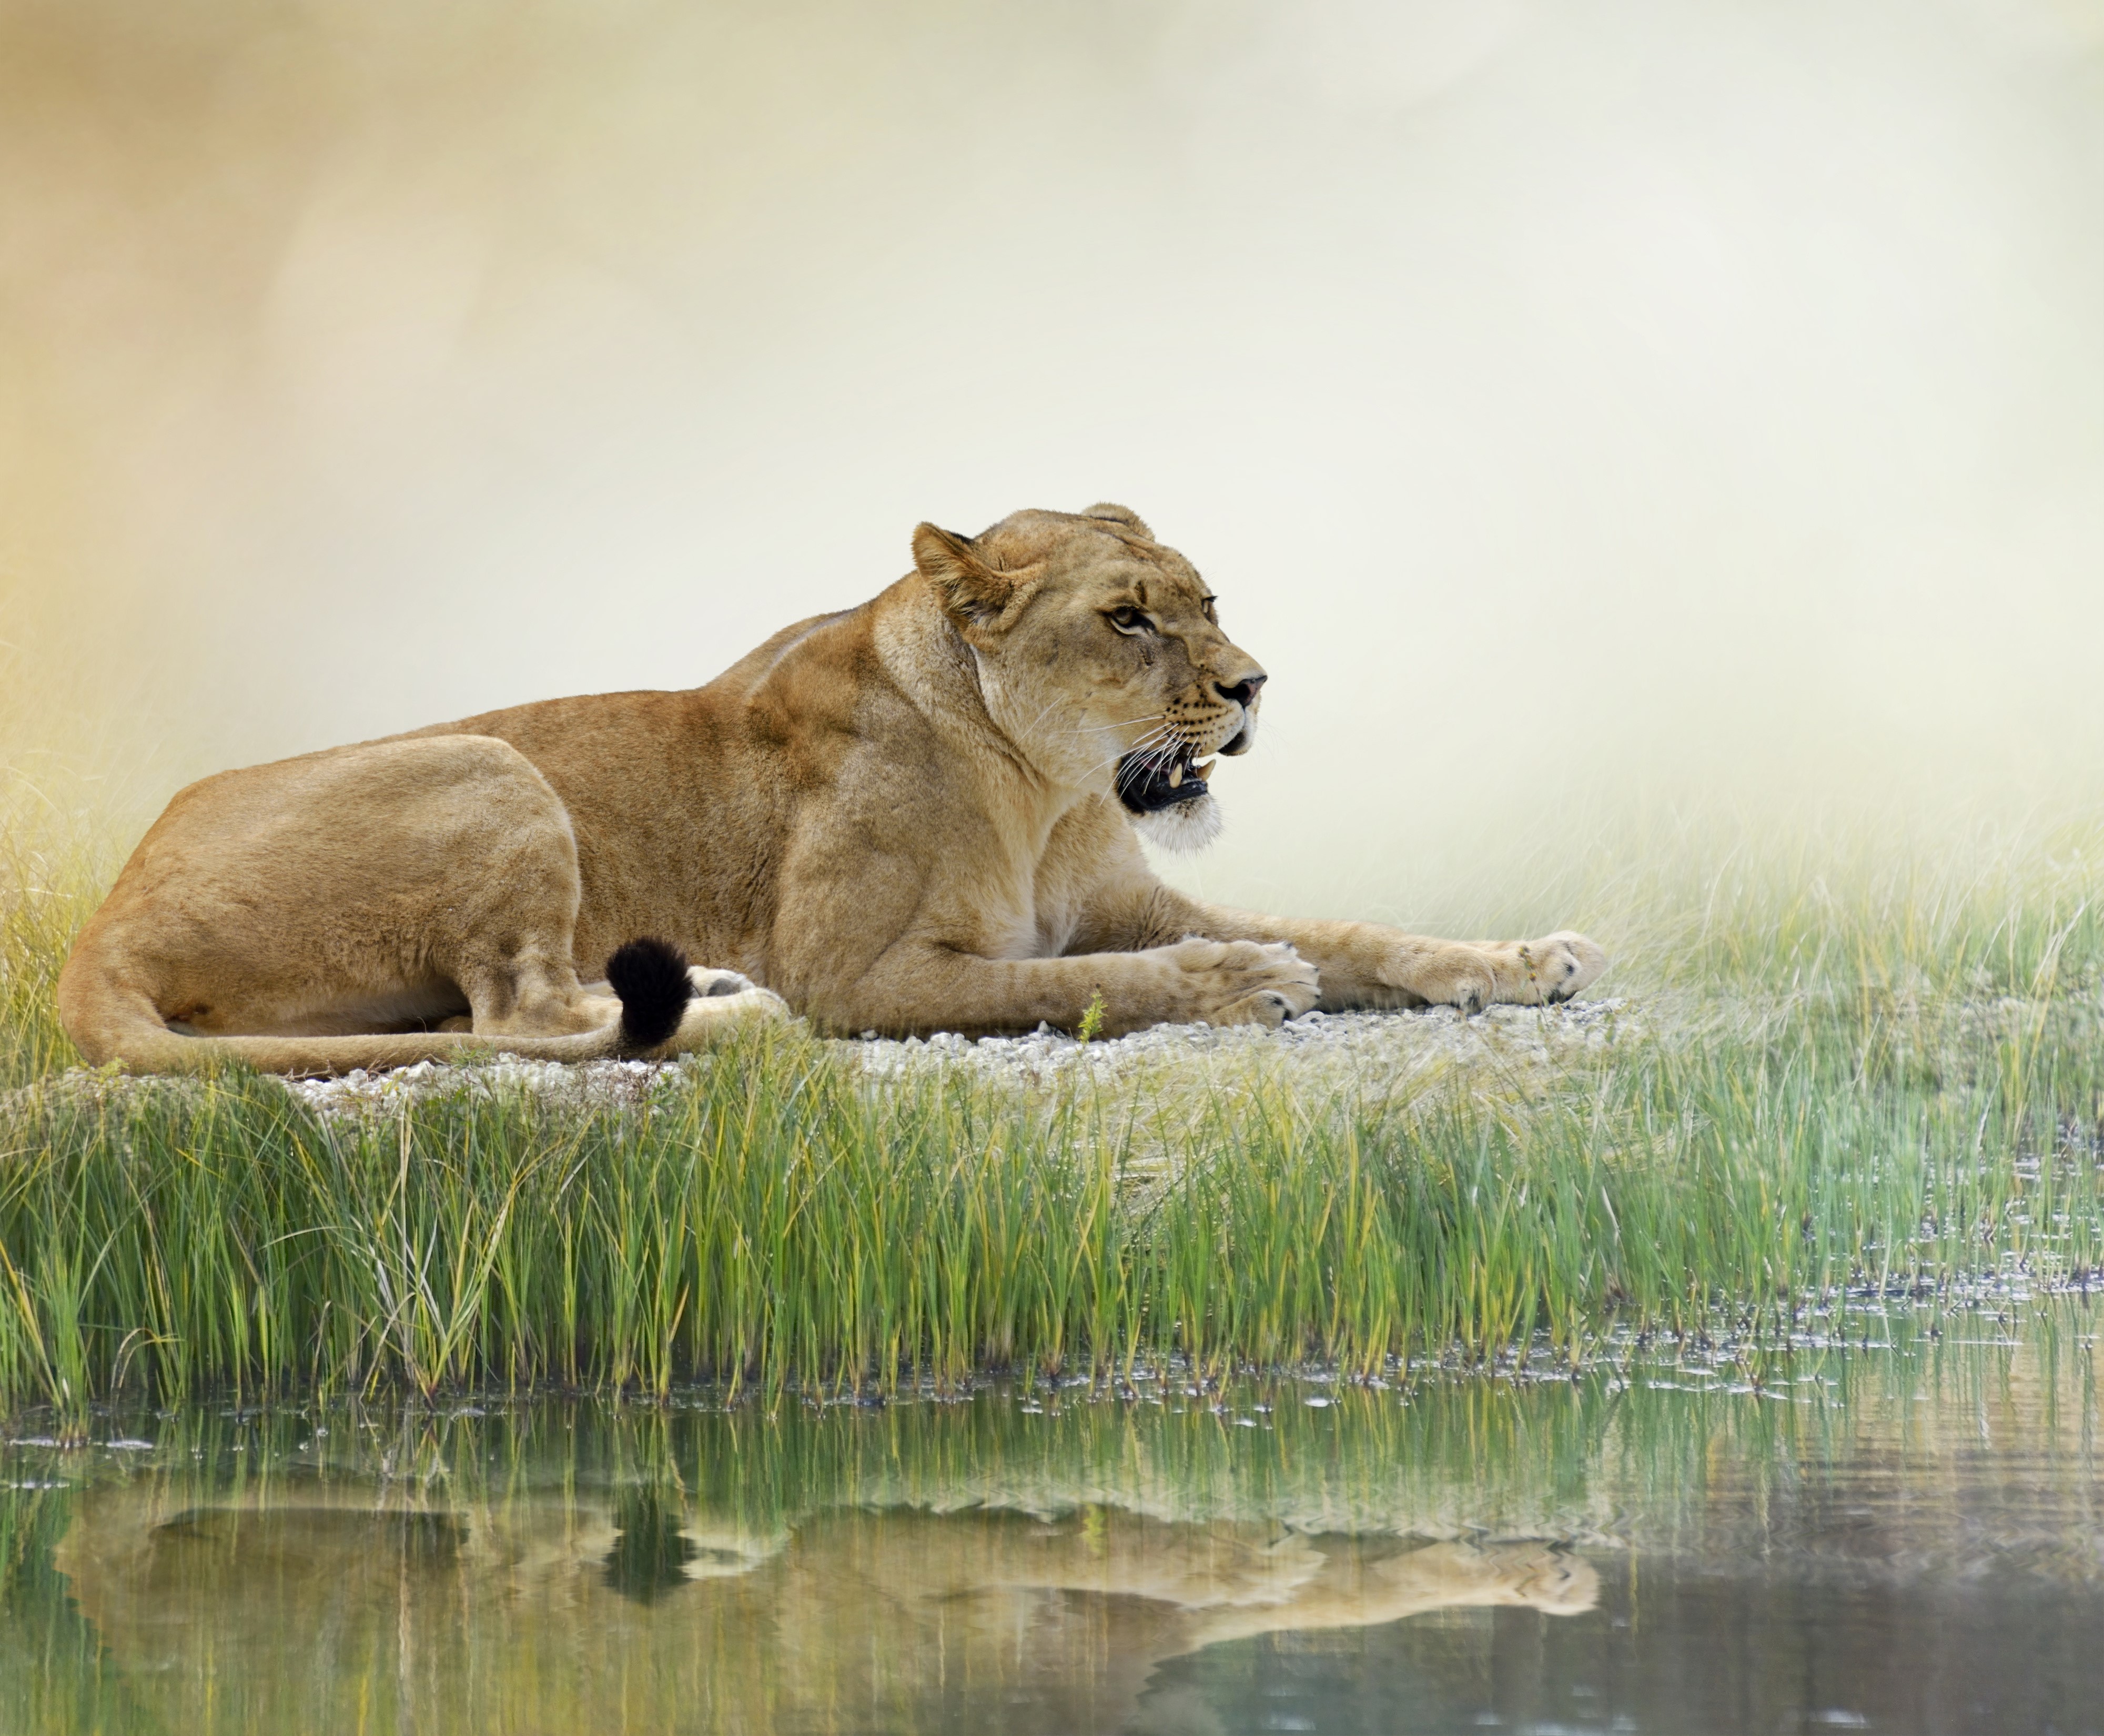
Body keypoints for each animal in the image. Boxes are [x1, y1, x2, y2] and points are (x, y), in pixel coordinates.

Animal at [58, 504, 1605, 1074]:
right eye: (1126, 618)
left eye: (1207, 600)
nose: (1253, 685)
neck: (1047, 794)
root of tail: (101, 924)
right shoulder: (865, 970)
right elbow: (1088, 981)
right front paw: (1240, 983)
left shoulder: (1125, 897)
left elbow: (1358, 932)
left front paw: (1527, 958)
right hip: (487, 763)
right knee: (520, 1013)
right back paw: (734, 1011)